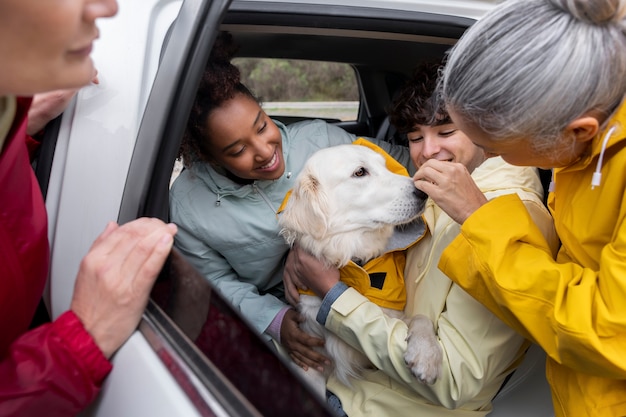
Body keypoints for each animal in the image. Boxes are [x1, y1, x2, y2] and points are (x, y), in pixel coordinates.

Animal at [278, 143, 438, 394]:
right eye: (360, 172)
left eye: (385, 165)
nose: (423, 191)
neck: (355, 259)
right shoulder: (310, 361)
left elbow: (421, 318)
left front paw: (426, 355)